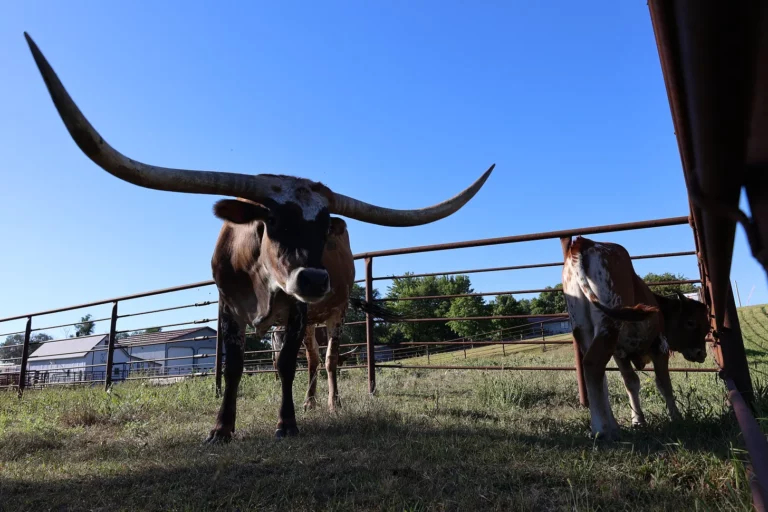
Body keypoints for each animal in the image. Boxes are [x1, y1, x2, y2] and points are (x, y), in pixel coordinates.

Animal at [25, 33, 494, 442]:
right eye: (272, 221)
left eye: (324, 225)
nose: (314, 280)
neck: (260, 277)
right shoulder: (229, 309)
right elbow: (236, 367)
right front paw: (221, 429)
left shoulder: (296, 312)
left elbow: (286, 365)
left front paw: (286, 424)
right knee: (311, 360)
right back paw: (309, 402)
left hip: (332, 314)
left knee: (327, 361)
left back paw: (331, 403)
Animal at [561, 236, 710, 441]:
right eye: (691, 322)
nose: (701, 353)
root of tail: (584, 242)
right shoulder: (659, 347)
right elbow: (663, 383)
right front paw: (676, 417)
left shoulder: (619, 353)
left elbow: (631, 383)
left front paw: (638, 420)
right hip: (609, 323)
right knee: (592, 364)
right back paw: (602, 429)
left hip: (583, 329)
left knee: (596, 374)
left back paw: (611, 426)